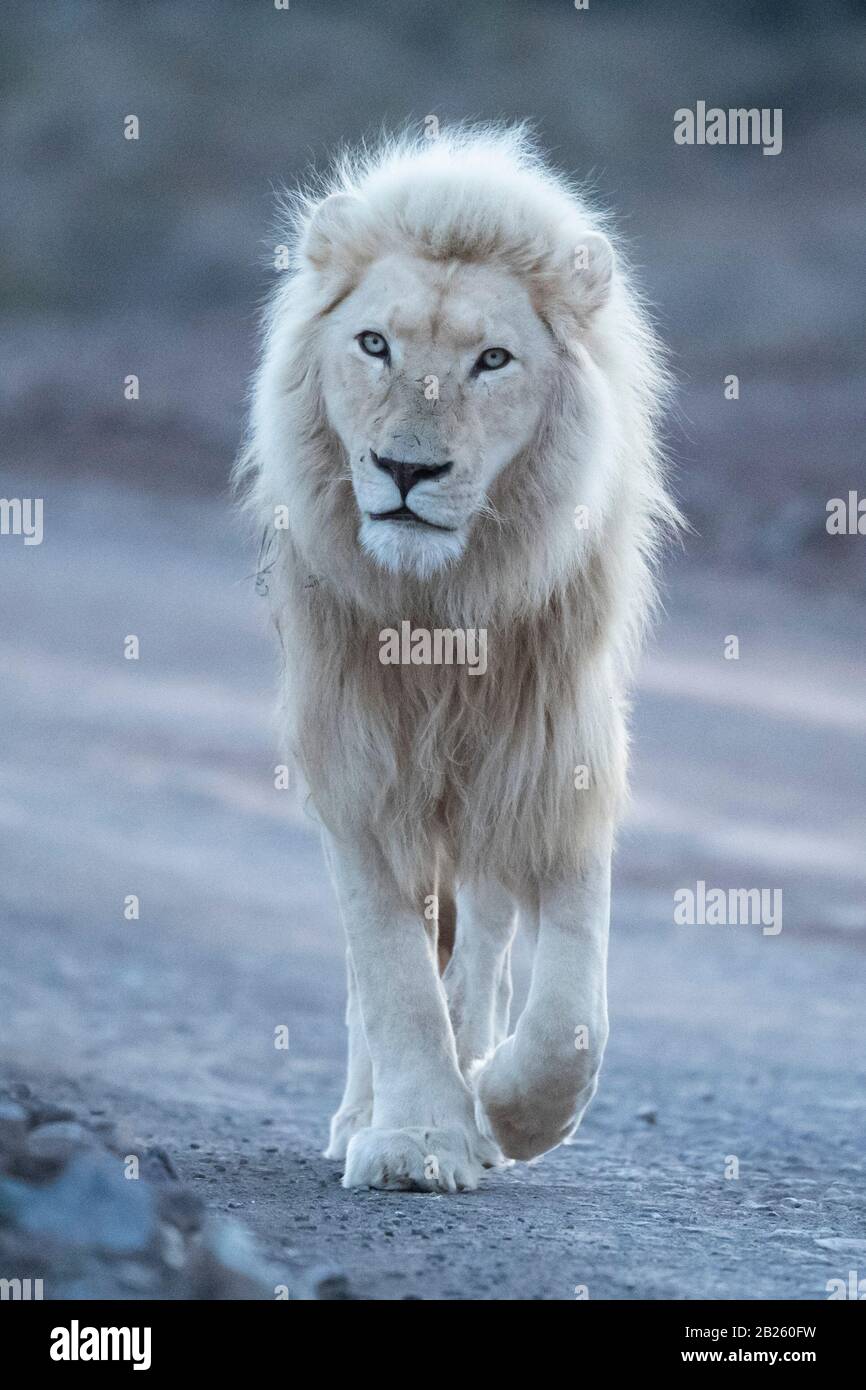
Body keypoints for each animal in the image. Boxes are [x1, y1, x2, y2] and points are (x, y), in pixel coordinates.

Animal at [236, 125, 678, 1192]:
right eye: (374, 345)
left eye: (492, 360)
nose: (407, 469)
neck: (440, 612)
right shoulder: (355, 762)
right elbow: (391, 971)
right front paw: (415, 1140)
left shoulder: (553, 751)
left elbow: (568, 1013)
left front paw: (508, 1114)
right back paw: (367, 1113)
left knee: (482, 945)